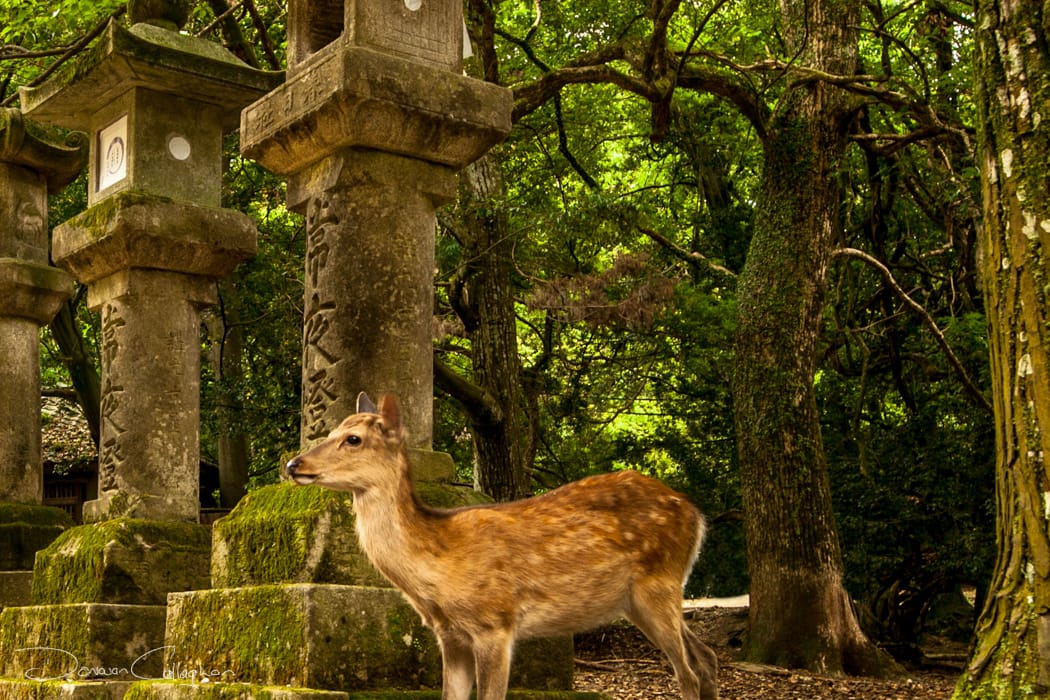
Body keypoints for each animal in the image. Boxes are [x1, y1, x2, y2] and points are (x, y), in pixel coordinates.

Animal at [285, 392, 718, 700]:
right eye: (329, 432)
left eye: (353, 439)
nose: (294, 464)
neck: (438, 567)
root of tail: (696, 515)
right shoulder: (450, 636)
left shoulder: (495, 622)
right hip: (640, 600)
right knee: (707, 658)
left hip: (658, 586)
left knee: (688, 674)